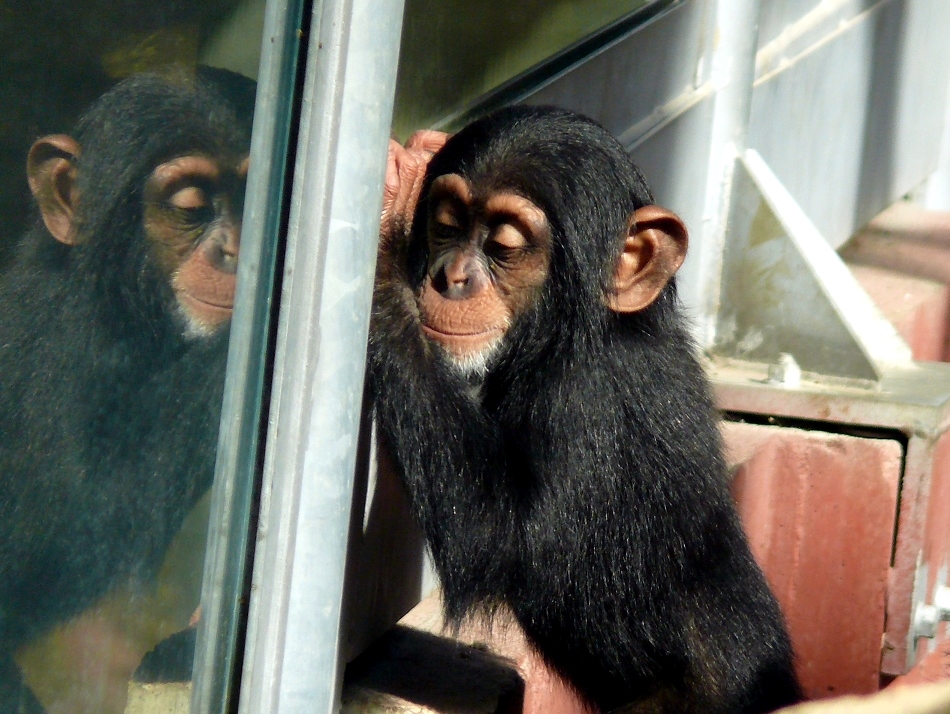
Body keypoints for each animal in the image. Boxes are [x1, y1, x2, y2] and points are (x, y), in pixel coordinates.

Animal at [372, 107, 804, 712]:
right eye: (448, 225)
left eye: (503, 246)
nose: (451, 277)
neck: (578, 333)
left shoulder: (585, 402)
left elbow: (500, 536)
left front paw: (387, 227)